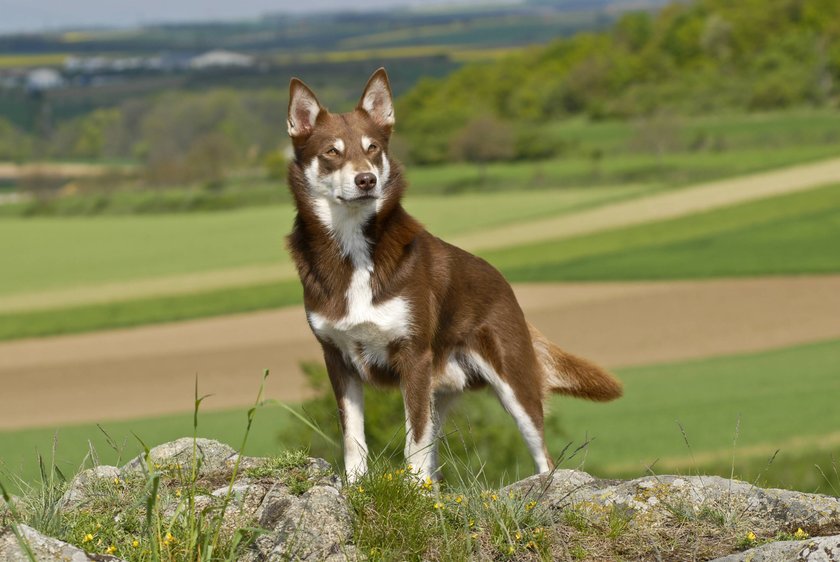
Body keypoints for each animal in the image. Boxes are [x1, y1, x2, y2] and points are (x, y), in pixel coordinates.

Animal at [286, 66, 620, 482]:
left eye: (373, 148)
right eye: (332, 151)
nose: (367, 180)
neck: (354, 249)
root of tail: (503, 282)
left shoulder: (413, 358)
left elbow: (413, 443)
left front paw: (408, 492)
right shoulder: (337, 359)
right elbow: (354, 438)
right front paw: (356, 485)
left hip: (513, 383)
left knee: (543, 455)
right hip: (439, 390)